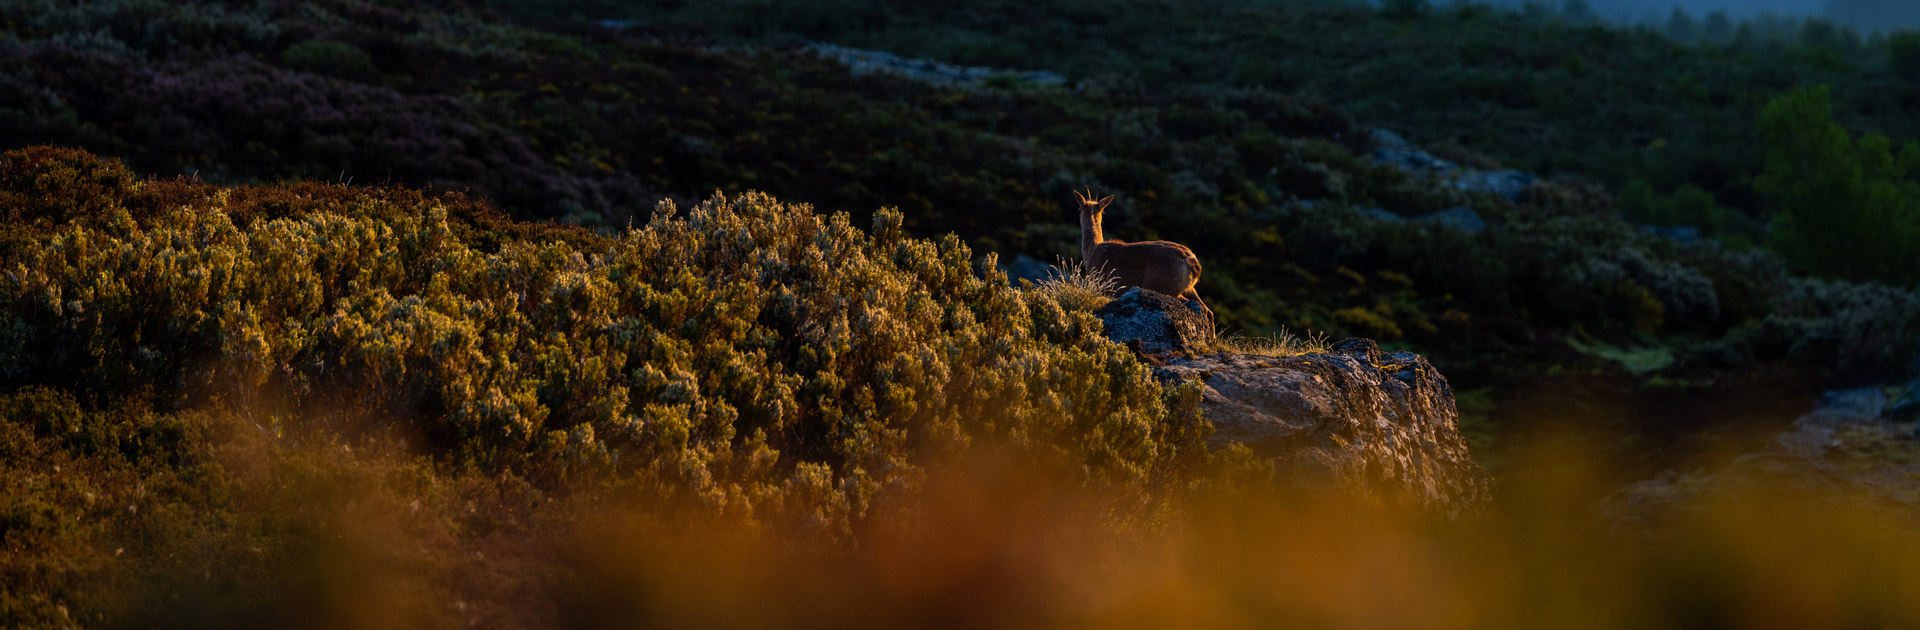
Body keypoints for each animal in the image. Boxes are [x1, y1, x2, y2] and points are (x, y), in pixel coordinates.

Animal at [1075, 190, 1215, 326]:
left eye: (1079, 207)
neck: (1091, 251)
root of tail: (1192, 263)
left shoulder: (1099, 284)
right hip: (1189, 288)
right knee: (1207, 311)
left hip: (1164, 287)